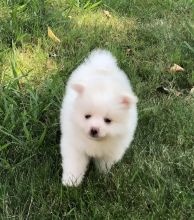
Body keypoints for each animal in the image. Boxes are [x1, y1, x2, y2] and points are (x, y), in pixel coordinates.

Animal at [59, 49, 137, 186]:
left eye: (107, 120)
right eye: (87, 116)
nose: (94, 129)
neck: (95, 142)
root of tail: (100, 64)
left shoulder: (112, 150)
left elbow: (104, 163)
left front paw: (102, 175)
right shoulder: (75, 145)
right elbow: (74, 163)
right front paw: (70, 182)